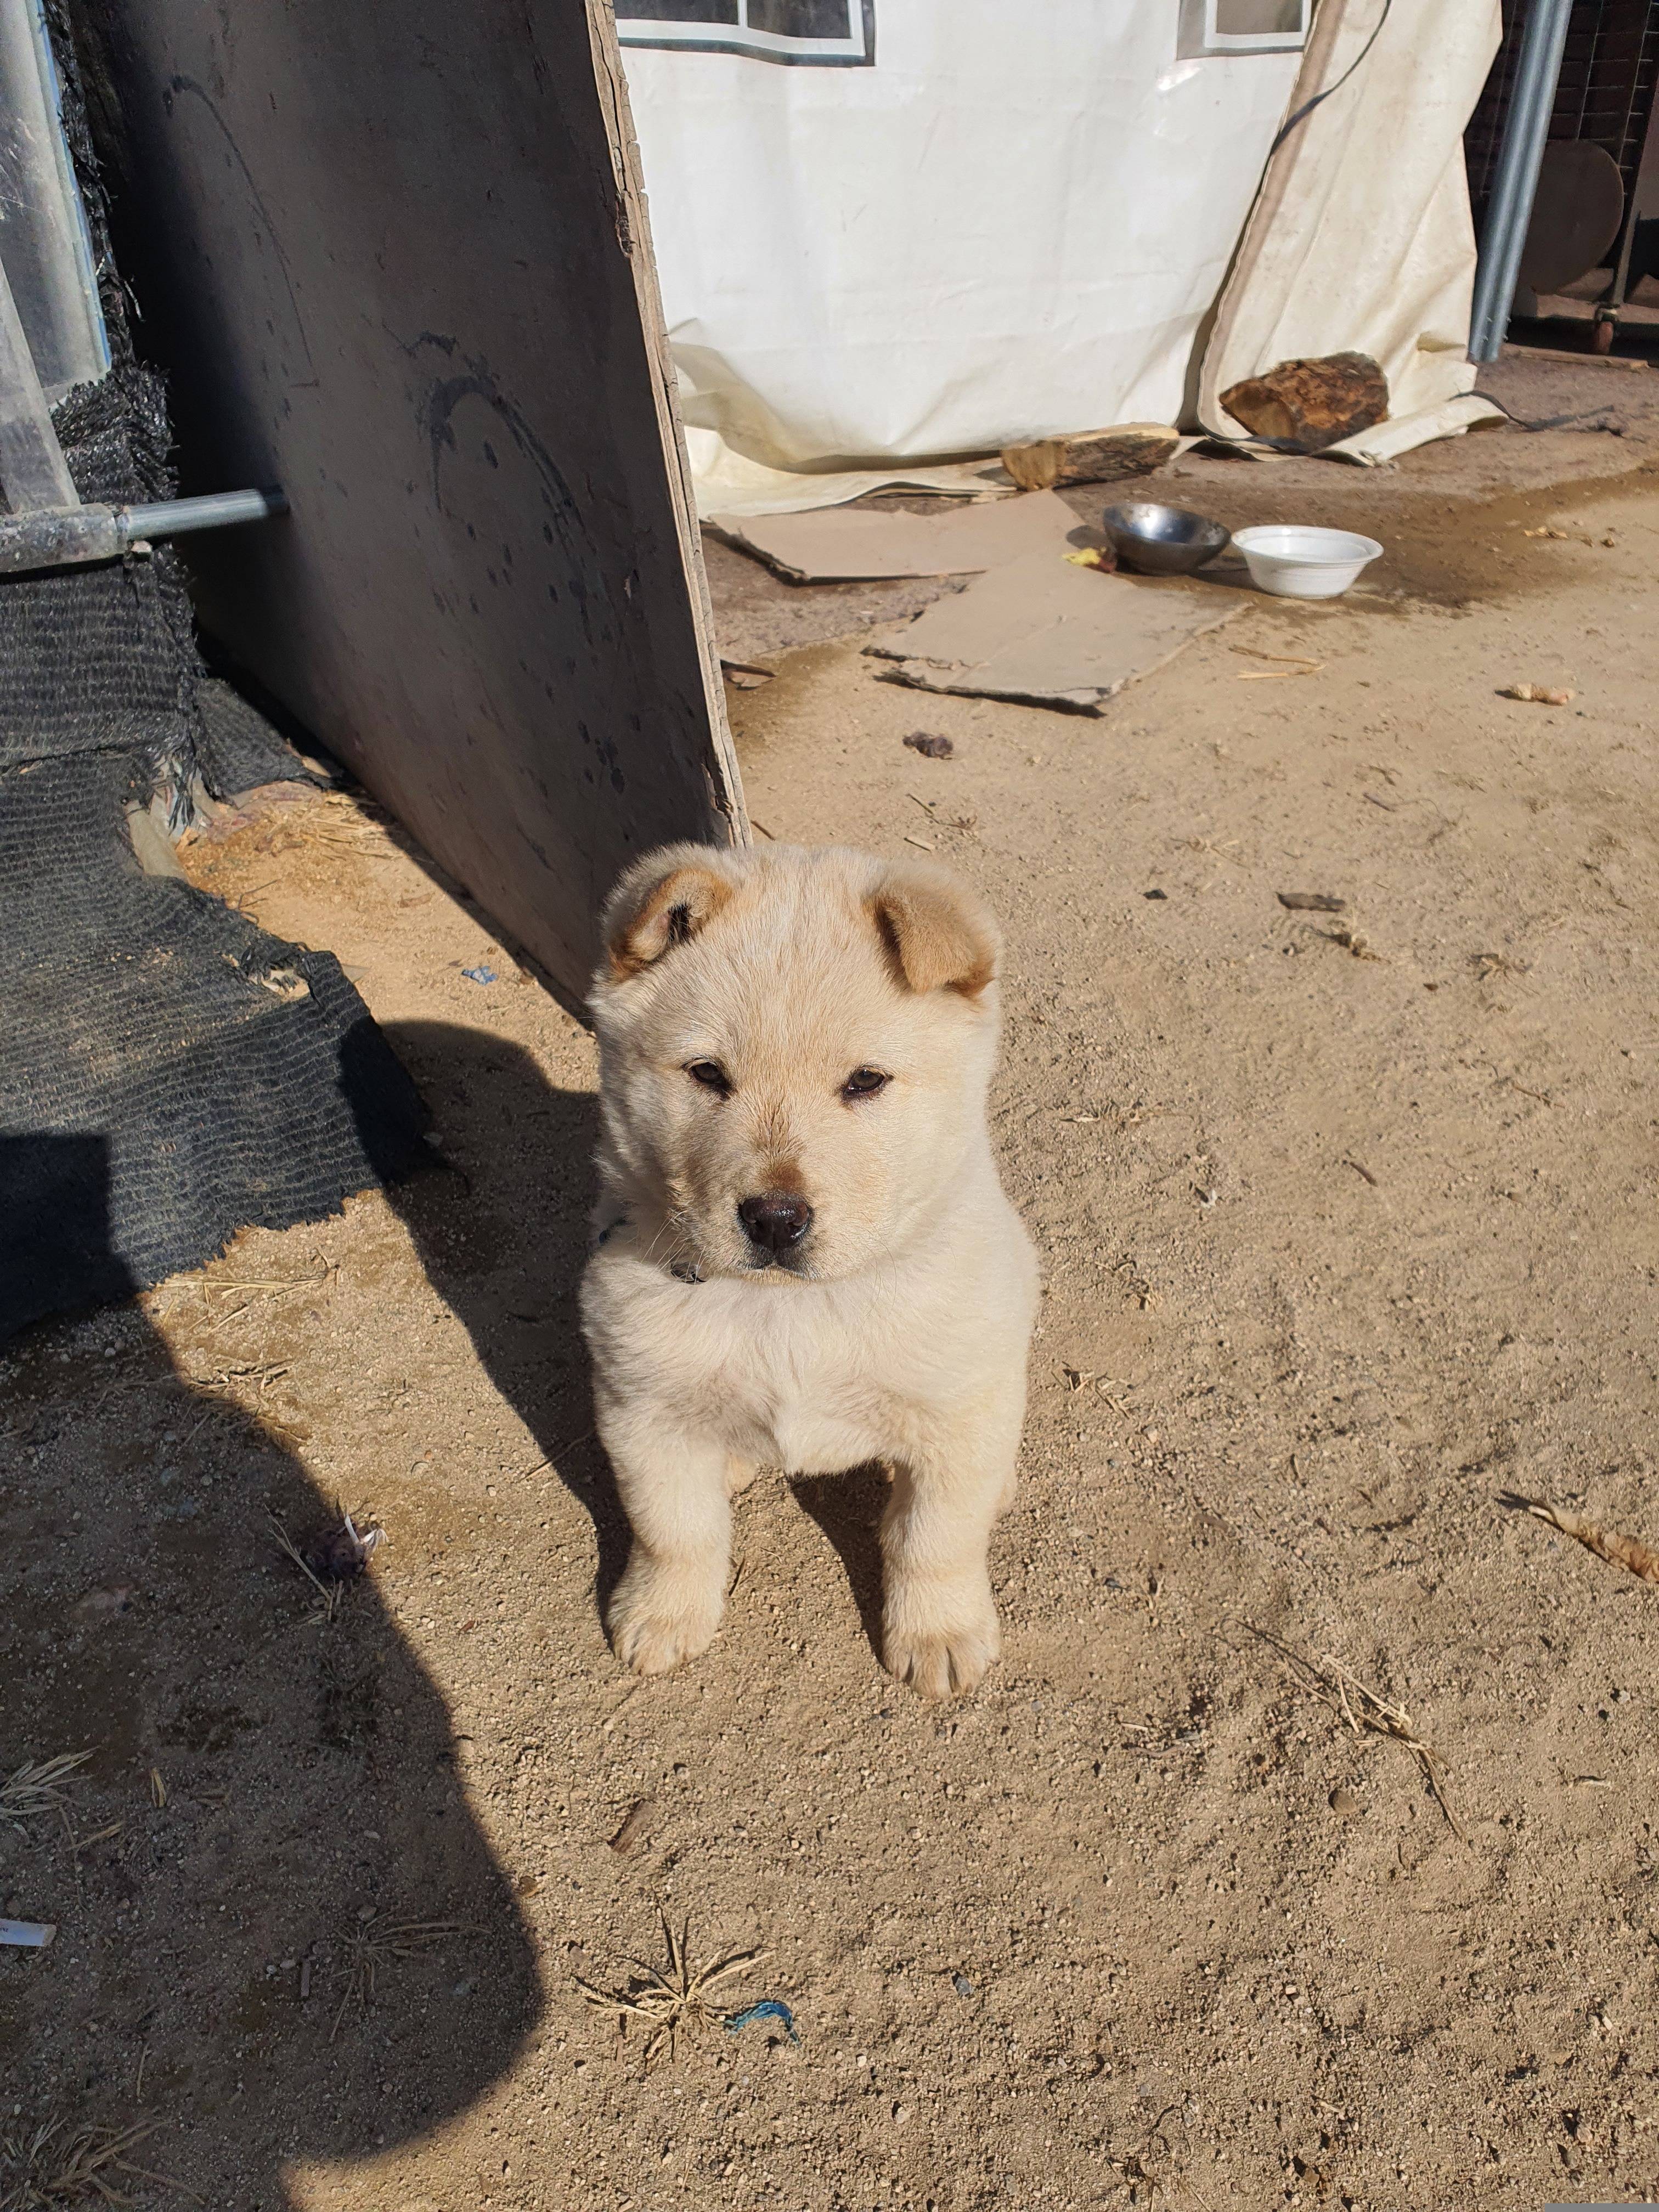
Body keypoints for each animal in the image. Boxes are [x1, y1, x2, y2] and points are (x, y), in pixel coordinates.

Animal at [579, 836, 1035, 1699]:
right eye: (707, 1074)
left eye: (865, 1081)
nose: (774, 1219)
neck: (789, 1308)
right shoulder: (640, 1409)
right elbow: (671, 1529)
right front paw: (661, 1615)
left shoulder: (954, 1413)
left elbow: (936, 1539)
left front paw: (939, 1633)